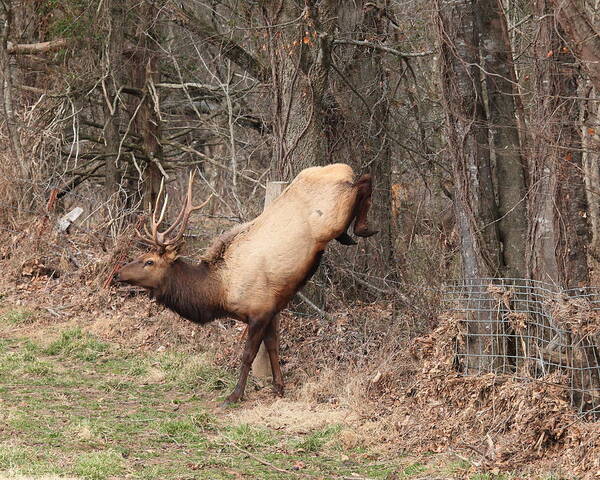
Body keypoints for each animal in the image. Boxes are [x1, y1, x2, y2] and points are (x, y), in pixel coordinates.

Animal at [116, 163, 376, 404]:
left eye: (149, 261)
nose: (118, 273)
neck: (219, 292)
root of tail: (342, 169)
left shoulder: (259, 310)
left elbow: (248, 354)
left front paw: (235, 394)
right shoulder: (272, 309)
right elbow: (273, 347)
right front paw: (278, 387)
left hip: (334, 214)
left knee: (365, 180)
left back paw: (363, 227)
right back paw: (352, 233)